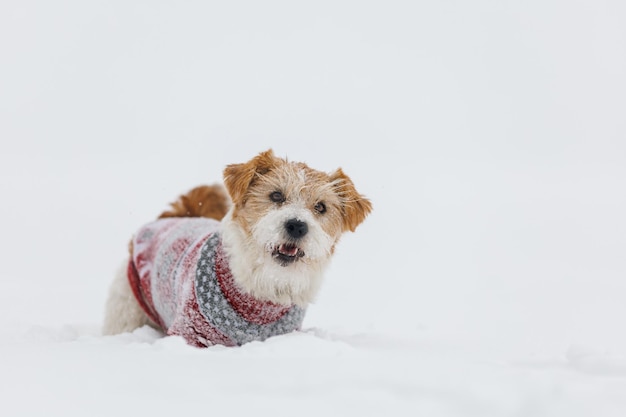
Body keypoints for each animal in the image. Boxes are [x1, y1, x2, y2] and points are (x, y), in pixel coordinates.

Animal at [100, 148, 368, 346]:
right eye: (276, 195)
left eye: (321, 207)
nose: (297, 226)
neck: (261, 289)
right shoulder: (190, 333)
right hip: (127, 312)